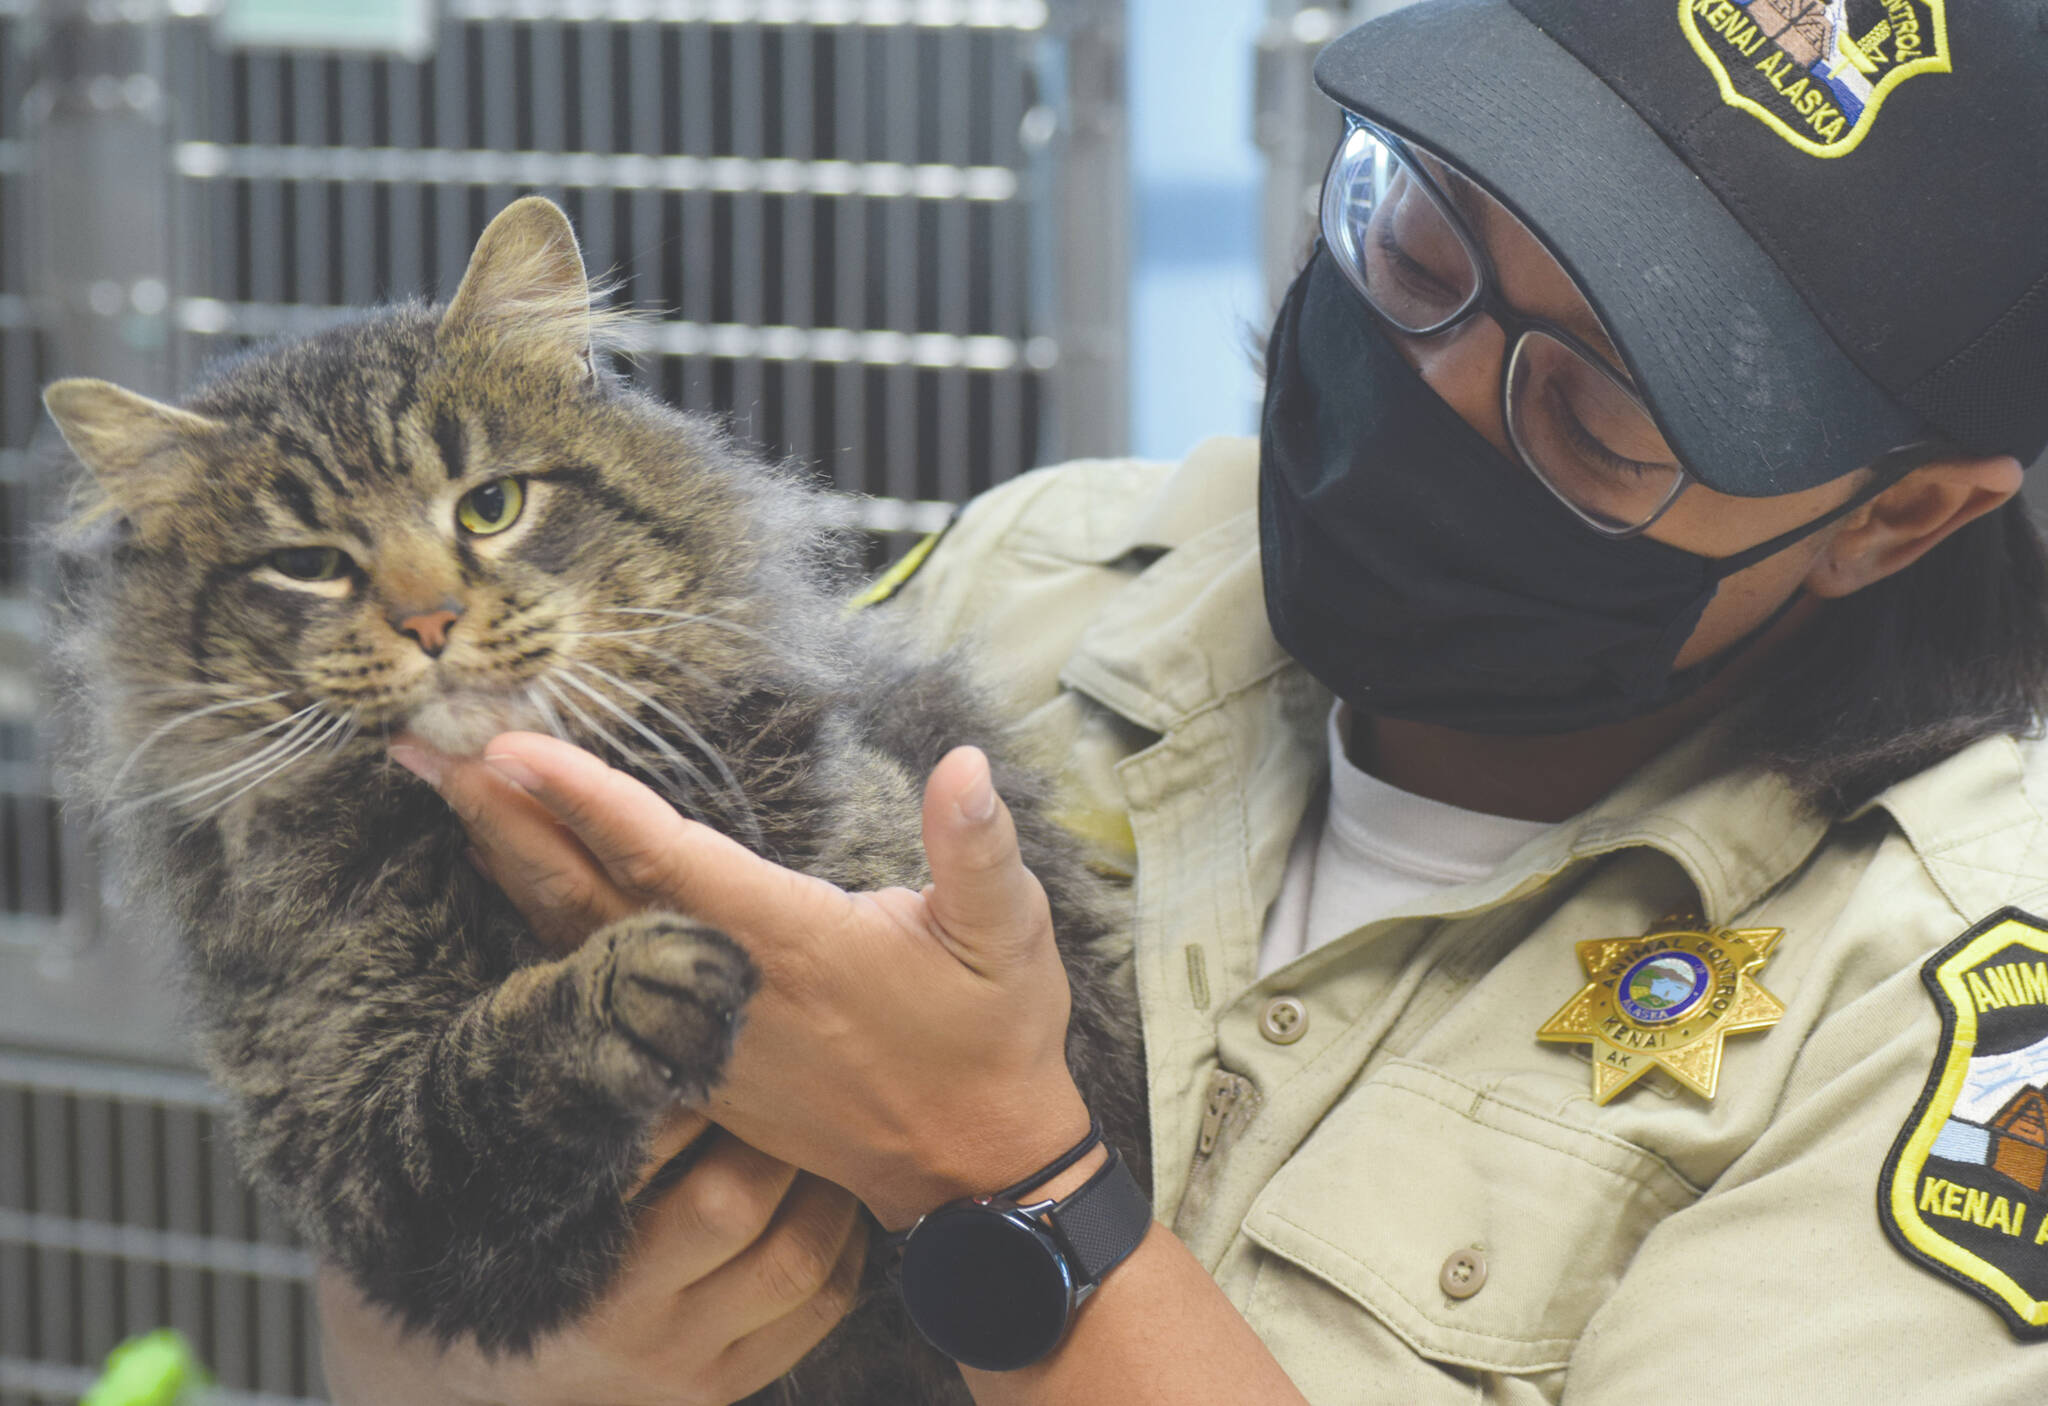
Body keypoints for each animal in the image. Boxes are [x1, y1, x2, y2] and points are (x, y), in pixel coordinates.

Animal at [39, 195, 1155, 1399]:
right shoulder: (363, 1150)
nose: (427, 620)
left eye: (490, 506)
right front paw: (637, 980)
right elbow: (484, 1079)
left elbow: (846, 852)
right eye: (309, 564)